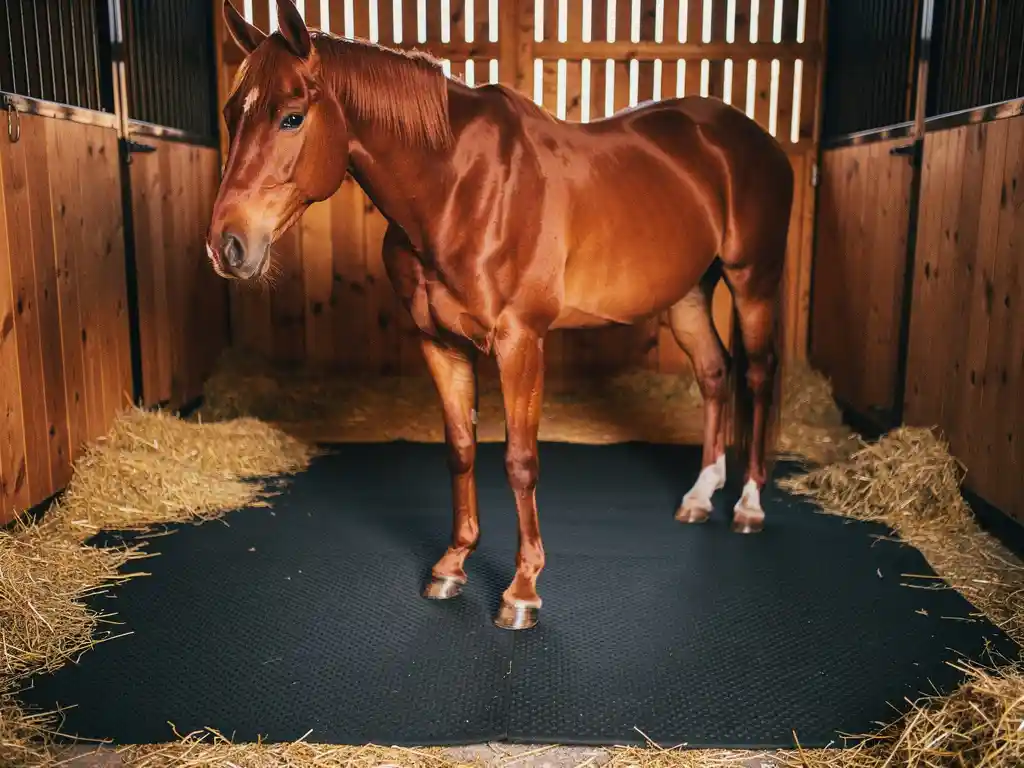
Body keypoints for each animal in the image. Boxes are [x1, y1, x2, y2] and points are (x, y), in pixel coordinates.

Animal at [208, 0, 794, 631]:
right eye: (231, 114)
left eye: (291, 118)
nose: (227, 246)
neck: (458, 188)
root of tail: (755, 141)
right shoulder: (439, 342)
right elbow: (461, 449)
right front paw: (452, 565)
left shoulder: (520, 342)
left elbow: (519, 460)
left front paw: (522, 590)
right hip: (688, 294)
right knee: (713, 372)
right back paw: (699, 496)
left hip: (752, 281)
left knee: (756, 375)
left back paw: (748, 505)